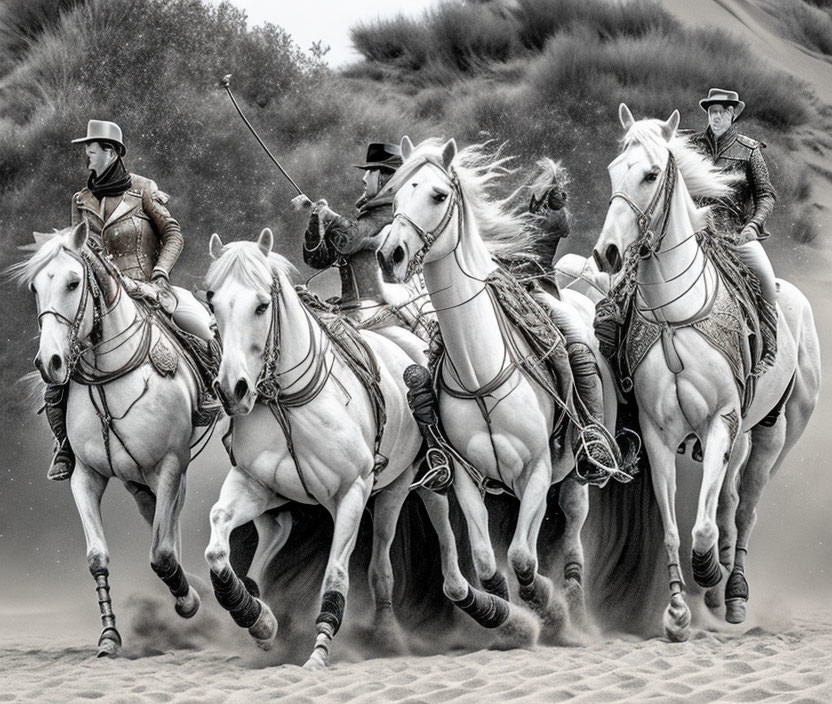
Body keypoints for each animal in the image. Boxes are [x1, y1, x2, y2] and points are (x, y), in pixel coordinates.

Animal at [13, 223, 204, 656]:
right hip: (137, 480)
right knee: (160, 515)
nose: (49, 363)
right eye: (35, 287)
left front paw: (187, 601)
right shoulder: (86, 475)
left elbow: (161, 554)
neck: (110, 375)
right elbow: (97, 557)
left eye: (73, 282)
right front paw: (109, 637)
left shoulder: (170, 464)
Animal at [374, 135, 620, 636]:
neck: (480, 373)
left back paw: (573, 603)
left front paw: (544, 604)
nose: (390, 255)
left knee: (572, 524)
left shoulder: (538, 470)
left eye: (438, 195)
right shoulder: (466, 476)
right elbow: (489, 563)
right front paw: (505, 612)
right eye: (394, 197)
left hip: (575, 475)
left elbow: (523, 557)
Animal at [592, 103, 820, 640]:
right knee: (728, 503)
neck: (674, 315)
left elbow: (701, 527)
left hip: (773, 436)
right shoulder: (658, 435)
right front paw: (677, 610)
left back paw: (732, 592)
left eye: (652, 174)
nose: (607, 253)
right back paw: (716, 595)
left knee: (747, 508)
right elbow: (676, 529)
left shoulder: (721, 420)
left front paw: (708, 573)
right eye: (614, 170)